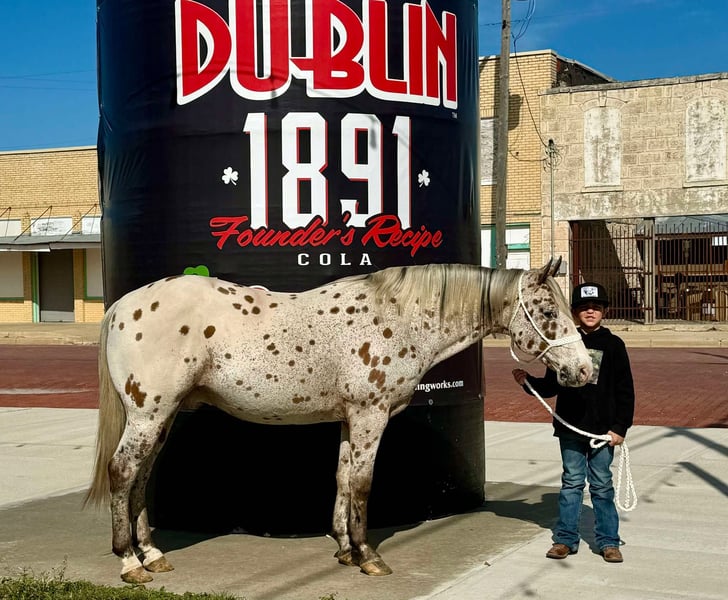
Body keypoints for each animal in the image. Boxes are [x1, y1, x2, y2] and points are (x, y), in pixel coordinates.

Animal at [84, 258, 592, 583]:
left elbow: (344, 478)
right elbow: (363, 483)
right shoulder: (371, 414)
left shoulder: (351, 418)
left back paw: (153, 555)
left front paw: (346, 549)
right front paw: (369, 557)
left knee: (141, 476)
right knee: (122, 471)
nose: (585, 371)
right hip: (149, 413)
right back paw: (130, 564)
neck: (398, 317)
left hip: (162, 416)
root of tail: (123, 306)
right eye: (549, 311)